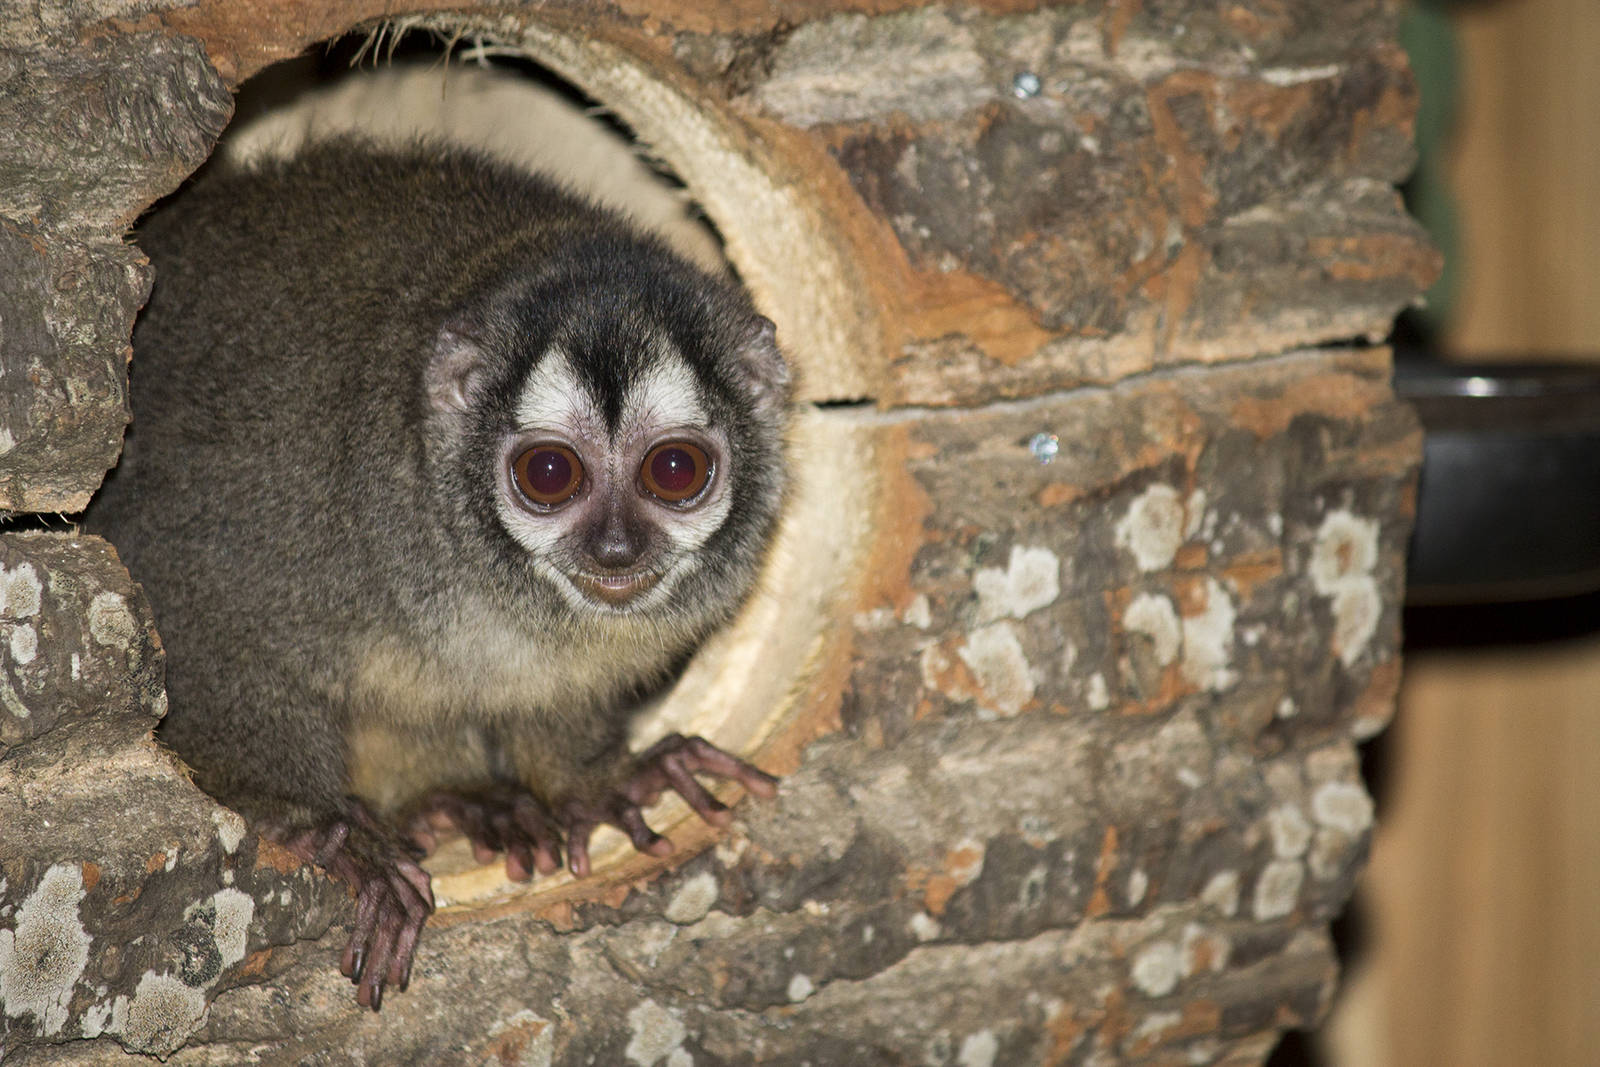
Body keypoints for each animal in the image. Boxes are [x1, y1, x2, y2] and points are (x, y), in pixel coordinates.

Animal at [86, 138, 790, 1010]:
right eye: (550, 473)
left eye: (674, 469)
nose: (616, 550)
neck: (474, 577)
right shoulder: (284, 519)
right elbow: (187, 624)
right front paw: (328, 830)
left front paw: (599, 782)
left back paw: (463, 804)